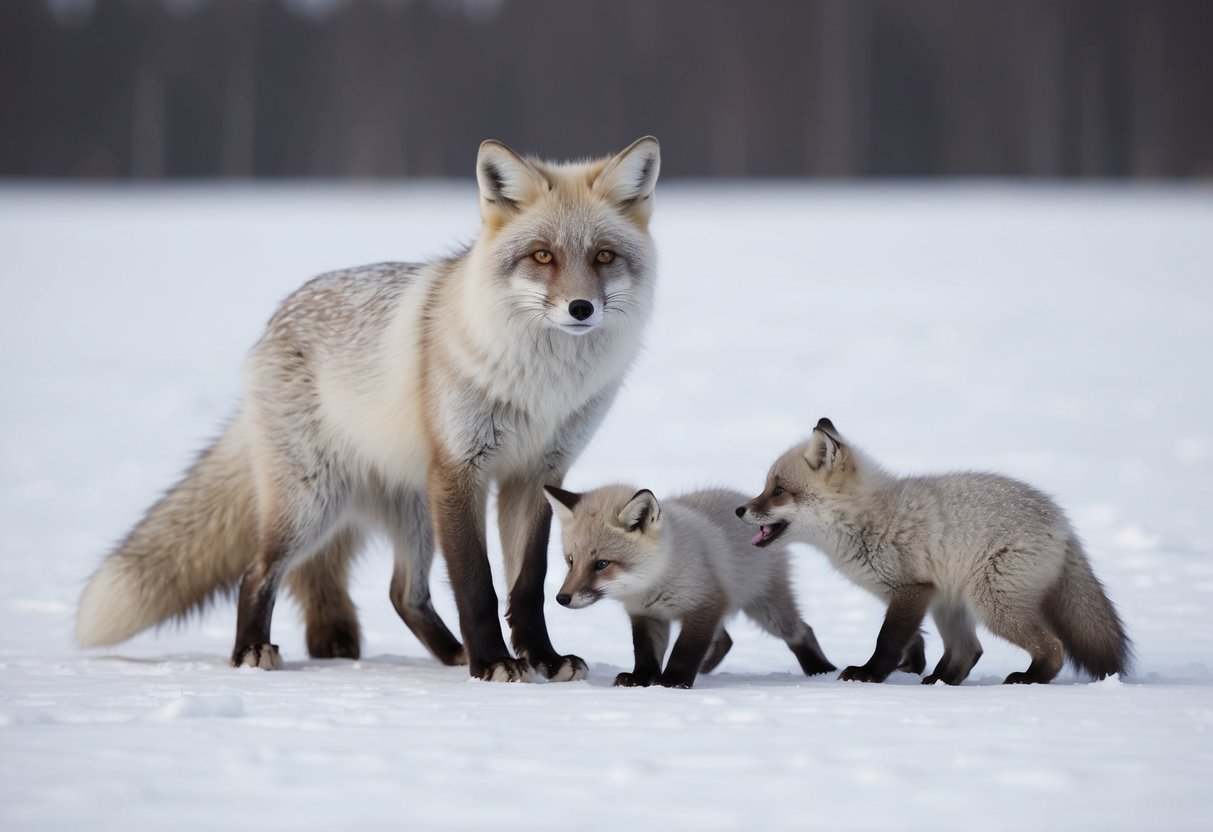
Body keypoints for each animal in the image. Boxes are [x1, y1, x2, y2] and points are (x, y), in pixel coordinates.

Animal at [75, 136, 662, 682]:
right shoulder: (461, 470)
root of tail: (273, 321)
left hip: (411, 511)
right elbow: (477, 585)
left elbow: (527, 586)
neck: (542, 386)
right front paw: (494, 663)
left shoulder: (536, 473)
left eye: (603, 256)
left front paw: (542, 658)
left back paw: (451, 654)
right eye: (542, 255)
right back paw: (251, 651)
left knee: (404, 594)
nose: (581, 308)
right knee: (258, 571)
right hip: (314, 502)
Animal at [544, 484, 835, 689]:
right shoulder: (646, 615)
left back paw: (822, 671)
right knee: (726, 640)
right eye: (571, 561)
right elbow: (645, 652)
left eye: (601, 564)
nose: (562, 598)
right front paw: (641, 678)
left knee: (802, 632)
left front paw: (673, 681)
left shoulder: (705, 605)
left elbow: (686, 650)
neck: (654, 581)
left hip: (767, 610)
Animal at [737, 418, 1131, 685]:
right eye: (766, 487)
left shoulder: (912, 589)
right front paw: (908, 668)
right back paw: (939, 681)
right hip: (953, 604)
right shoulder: (912, 595)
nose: (739, 510)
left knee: (1052, 648)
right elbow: (911, 641)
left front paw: (868, 674)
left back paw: (1027, 679)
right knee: (969, 650)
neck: (866, 520)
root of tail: (1062, 522)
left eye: (778, 491)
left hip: (993, 605)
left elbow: (887, 640)